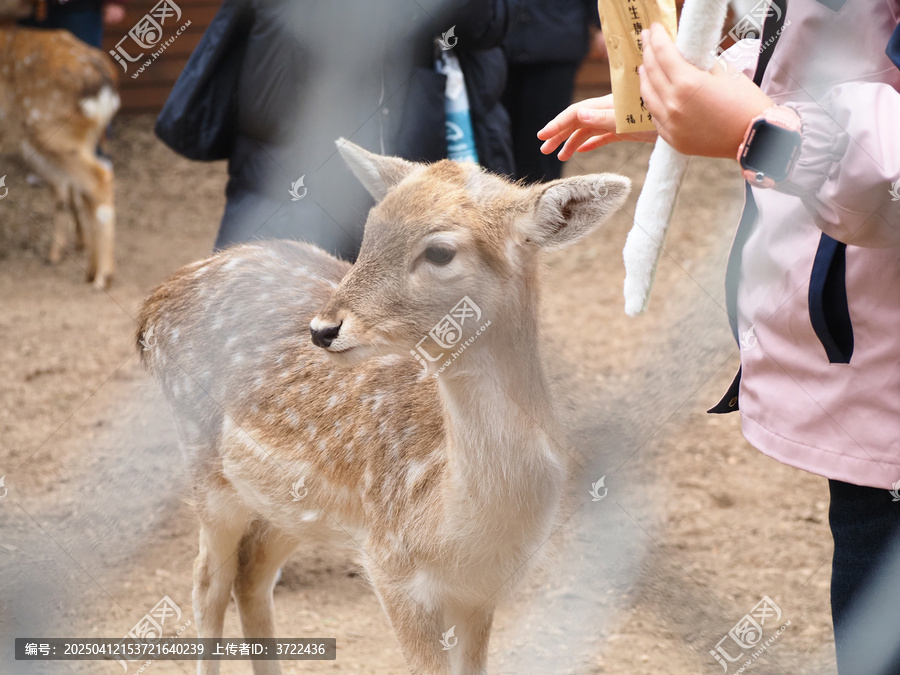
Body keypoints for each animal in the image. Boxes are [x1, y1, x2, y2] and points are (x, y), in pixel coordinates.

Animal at [0, 18, 119, 289]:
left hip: (51, 132)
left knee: (99, 180)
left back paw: (102, 277)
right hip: (79, 139)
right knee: (83, 189)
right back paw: (87, 268)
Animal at [137, 139, 630, 675]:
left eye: (440, 251)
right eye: (369, 230)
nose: (323, 329)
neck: (454, 526)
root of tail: (154, 303)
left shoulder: (480, 593)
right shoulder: (390, 565)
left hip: (289, 503)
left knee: (252, 572)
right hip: (207, 469)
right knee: (208, 582)